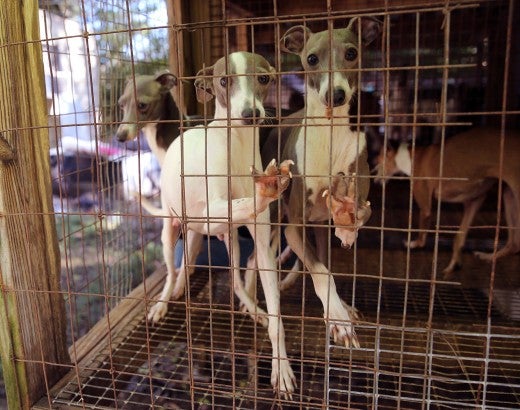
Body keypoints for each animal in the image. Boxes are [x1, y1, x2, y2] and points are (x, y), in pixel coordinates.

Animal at [376, 126, 520, 278]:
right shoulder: (474, 200)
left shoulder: (426, 207)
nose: (374, 179)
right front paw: (454, 264)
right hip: (509, 196)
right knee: (515, 243)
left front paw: (413, 244)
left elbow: (422, 238)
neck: (412, 157)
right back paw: (489, 256)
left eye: (379, 161)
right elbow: (459, 237)